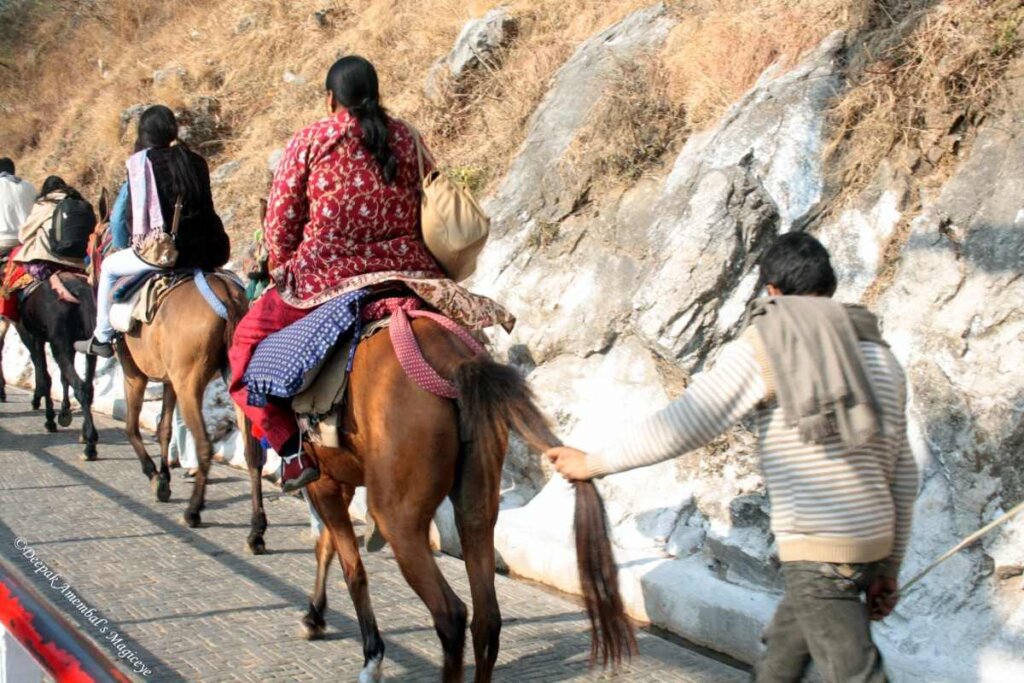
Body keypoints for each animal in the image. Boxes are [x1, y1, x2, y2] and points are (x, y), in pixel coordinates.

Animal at [299, 317, 630, 679]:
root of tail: (455, 362)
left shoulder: (323, 481)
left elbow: (349, 566)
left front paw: (370, 655)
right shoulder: (336, 480)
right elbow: (328, 547)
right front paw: (315, 616)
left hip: (397, 518)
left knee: (451, 615)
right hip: (478, 506)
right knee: (487, 619)